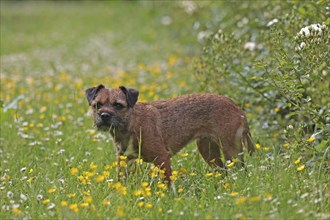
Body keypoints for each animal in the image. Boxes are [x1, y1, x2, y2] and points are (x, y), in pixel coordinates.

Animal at [85, 85, 255, 183]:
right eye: (97, 105)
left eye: (118, 105)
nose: (104, 115)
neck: (131, 123)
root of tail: (237, 107)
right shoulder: (125, 161)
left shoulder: (162, 158)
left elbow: (167, 183)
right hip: (208, 151)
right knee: (223, 171)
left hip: (231, 151)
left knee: (241, 171)